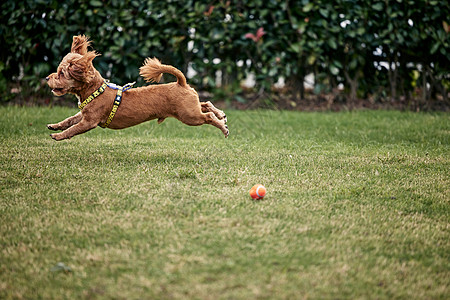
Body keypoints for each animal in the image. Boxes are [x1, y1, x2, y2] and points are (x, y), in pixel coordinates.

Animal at [45, 34, 229, 141]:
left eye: (61, 73)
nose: (47, 77)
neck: (96, 91)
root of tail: (180, 82)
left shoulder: (89, 121)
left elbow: (73, 129)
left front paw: (58, 135)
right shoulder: (83, 115)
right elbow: (70, 120)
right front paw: (55, 126)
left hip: (189, 116)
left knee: (208, 116)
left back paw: (222, 126)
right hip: (190, 108)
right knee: (206, 104)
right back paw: (221, 115)